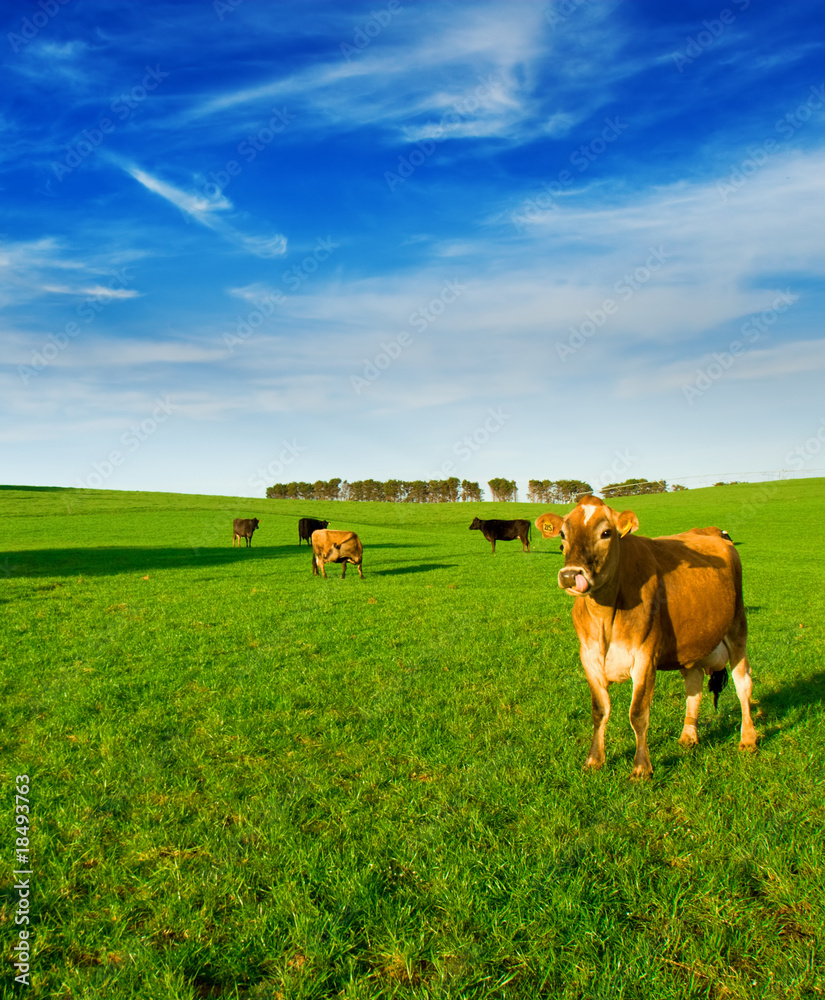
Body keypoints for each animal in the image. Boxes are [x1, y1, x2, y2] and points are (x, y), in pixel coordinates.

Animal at [536, 496, 756, 776]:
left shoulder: (645, 656)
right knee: (694, 686)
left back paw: (748, 739)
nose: (569, 575)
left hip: (737, 626)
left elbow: (638, 714)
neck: (605, 616)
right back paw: (688, 736)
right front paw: (594, 759)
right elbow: (599, 711)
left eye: (606, 533)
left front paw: (641, 768)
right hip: (692, 646)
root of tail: (714, 531)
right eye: (563, 534)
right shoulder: (589, 657)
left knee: (743, 684)